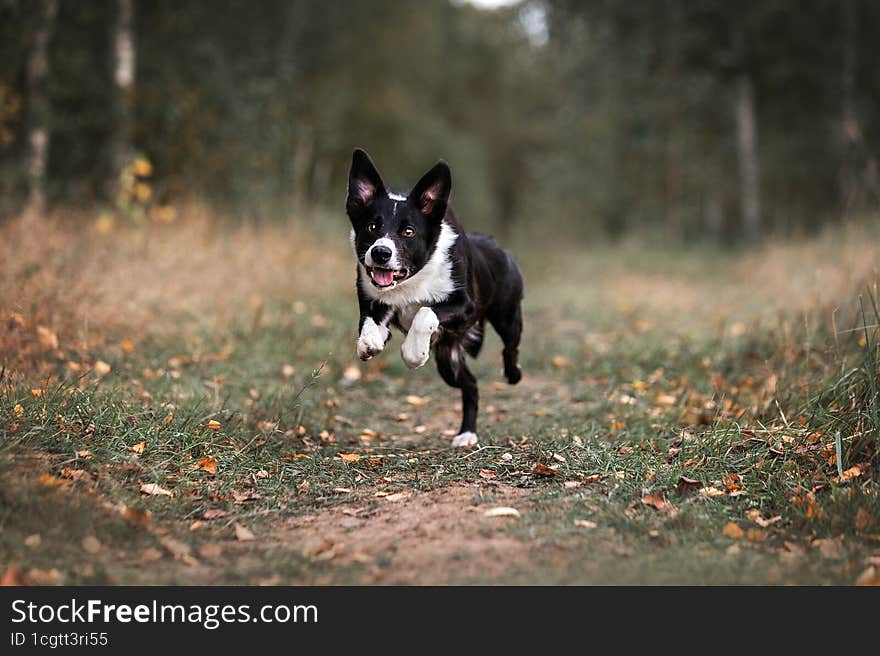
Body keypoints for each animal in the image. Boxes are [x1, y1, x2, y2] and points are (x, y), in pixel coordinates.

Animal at [346, 147, 524, 446]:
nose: (380, 252)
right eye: (371, 227)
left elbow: (425, 311)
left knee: (510, 348)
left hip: (507, 317)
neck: (412, 279)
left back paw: (512, 375)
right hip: (448, 361)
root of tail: (496, 245)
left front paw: (413, 353)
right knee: (471, 384)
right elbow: (370, 322)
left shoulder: (464, 305)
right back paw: (466, 433)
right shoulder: (374, 301)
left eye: (408, 231)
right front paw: (369, 343)